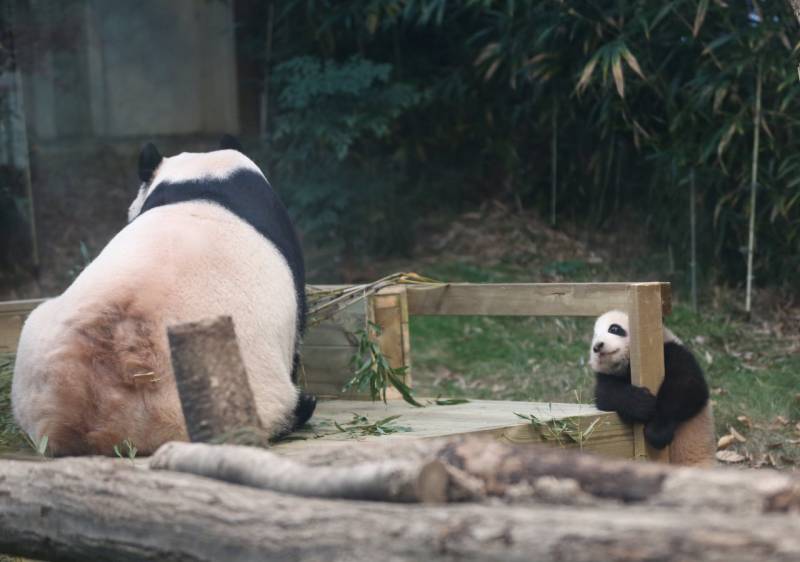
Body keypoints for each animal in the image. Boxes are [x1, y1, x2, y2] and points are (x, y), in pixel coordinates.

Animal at [588, 310, 712, 464]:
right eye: (595, 336)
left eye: (614, 329)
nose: (597, 346)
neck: (626, 364)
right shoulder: (608, 376)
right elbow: (606, 394)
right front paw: (642, 403)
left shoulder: (673, 351)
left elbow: (688, 387)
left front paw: (657, 432)